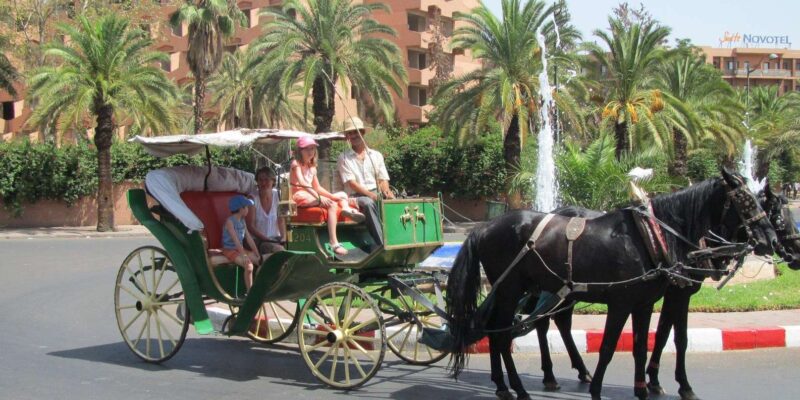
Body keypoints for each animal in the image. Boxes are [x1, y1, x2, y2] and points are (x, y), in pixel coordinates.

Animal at [445, 170, 778, 400]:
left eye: (761, 201)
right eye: (745, 200)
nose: (770, 240)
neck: (653, 237)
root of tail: (484, 227)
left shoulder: (647, 302)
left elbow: (644, 345)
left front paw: (644, 388)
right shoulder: (624, 302)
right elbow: (610, 346)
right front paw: (599, 389)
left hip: (531, 289)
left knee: (508, 328)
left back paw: (505, 385)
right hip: (510, 288)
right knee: (504, 334)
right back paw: (520, 387)